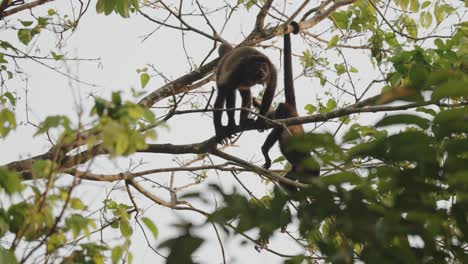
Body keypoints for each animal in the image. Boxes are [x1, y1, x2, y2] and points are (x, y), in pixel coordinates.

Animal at [260, 22, 322, 192]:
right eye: (311, 177)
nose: (310, 183)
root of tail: (294, 111)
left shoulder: (296, 170)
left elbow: (286, 182)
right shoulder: (300, 160)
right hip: (285, 111)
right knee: (279, 127)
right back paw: (265, 152)